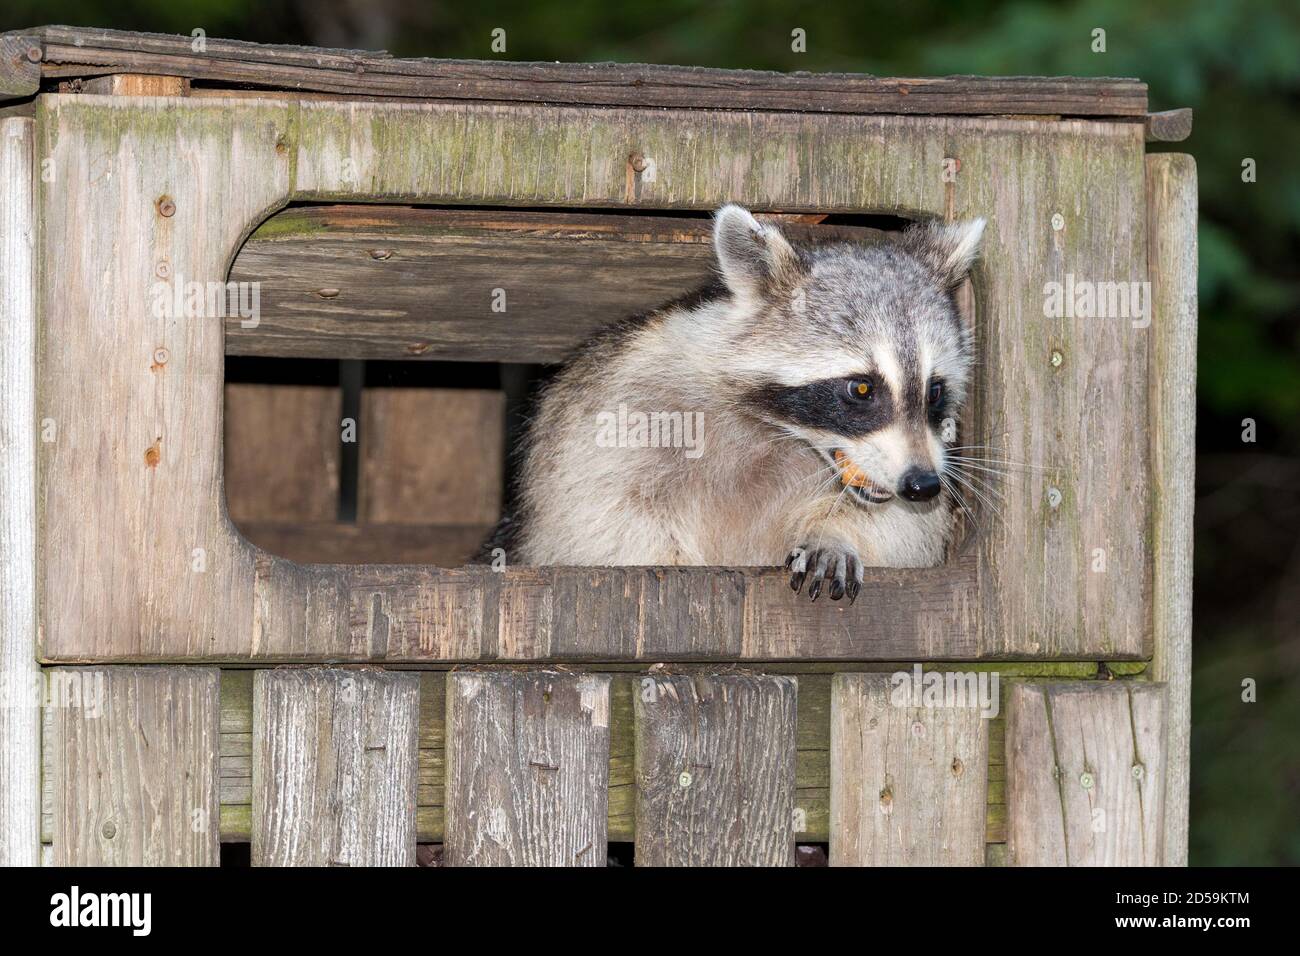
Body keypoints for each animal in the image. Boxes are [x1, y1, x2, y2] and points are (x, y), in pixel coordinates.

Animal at [496, 205, 982, 600]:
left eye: (934, 390)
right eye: (861, 388)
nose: (922, 484)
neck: (777, 430)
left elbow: (904, 529)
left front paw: (836, 536)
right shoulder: (623, 403)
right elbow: (599, 517)